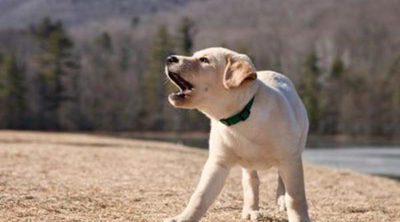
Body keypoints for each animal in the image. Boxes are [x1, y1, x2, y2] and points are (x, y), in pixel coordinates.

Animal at [164, 47, 310, 222]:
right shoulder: (218, 162)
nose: (169, 58)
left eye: (204, 60)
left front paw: (298, 217)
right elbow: (200, 195)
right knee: (251, 182)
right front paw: (183, 217)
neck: (241, 117)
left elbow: (295, 197)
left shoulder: (289, 159)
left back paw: (281, 200)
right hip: (249, 164)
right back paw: (251, 210)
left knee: (281, 180)